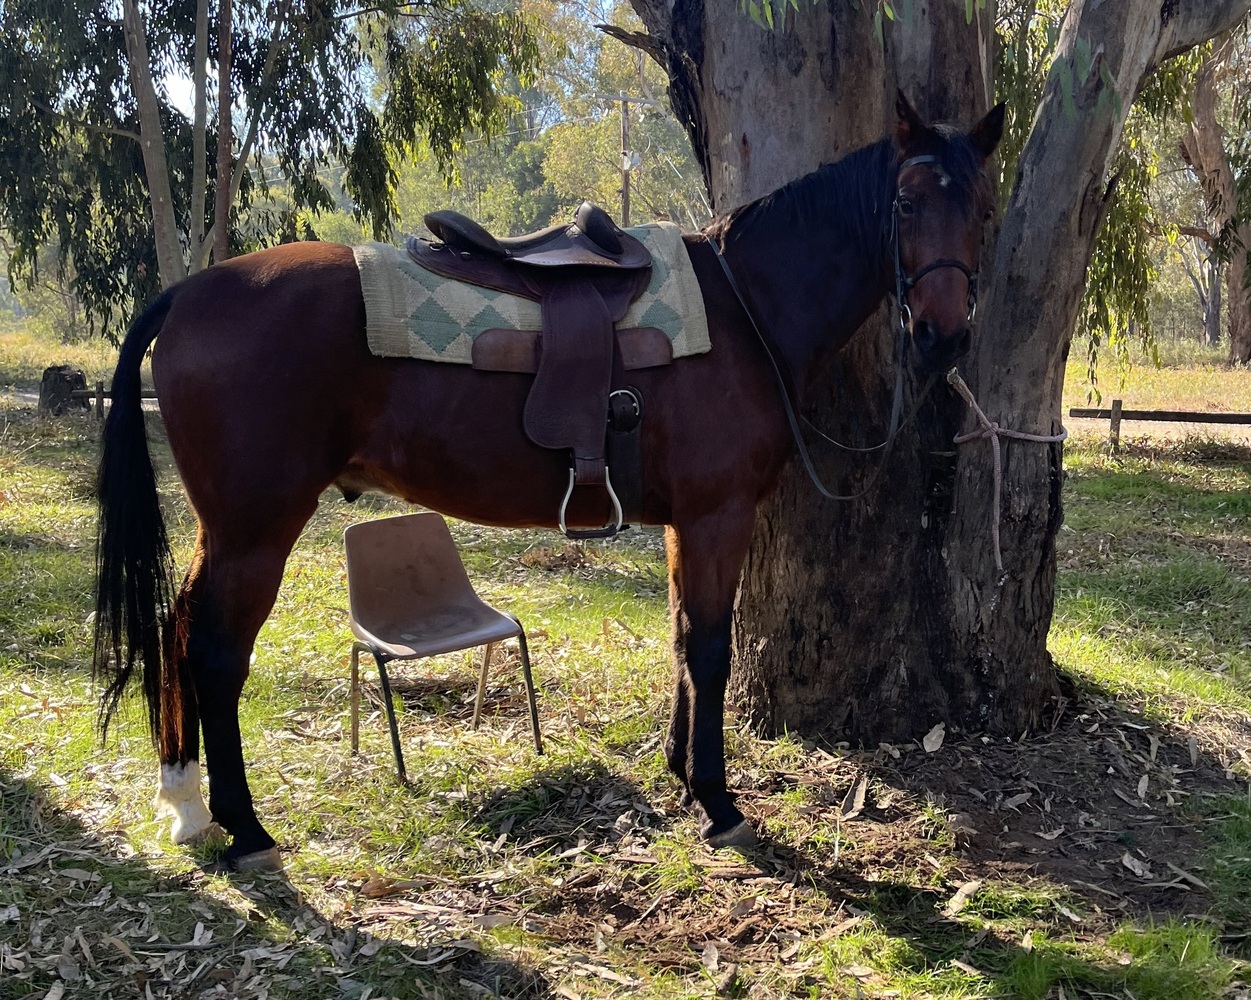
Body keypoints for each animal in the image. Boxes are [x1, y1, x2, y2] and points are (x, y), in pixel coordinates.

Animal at [93, 93, 1004, 871]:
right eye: (904, 205)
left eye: (983, 209)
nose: (944, 335)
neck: (742, 307)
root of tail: (188, 292)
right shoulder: (718, 516)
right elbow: (709, 649)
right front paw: (717, 801)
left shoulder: (684, 522)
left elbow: (680, 637)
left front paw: (679, 772)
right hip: (256, 528)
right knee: (214, 653)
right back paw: (243, 825)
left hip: (225, 530)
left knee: (178, 630)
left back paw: (185, 803)